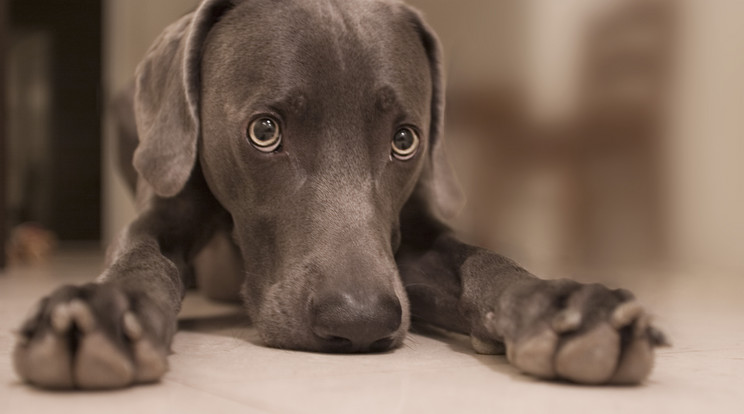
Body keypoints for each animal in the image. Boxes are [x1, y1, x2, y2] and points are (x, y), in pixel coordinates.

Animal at [11, 0, 664, 390]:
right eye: (264, 131)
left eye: (405, 139)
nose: (361, 322)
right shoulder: (166, 211)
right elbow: (143, 259)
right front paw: (103, 309)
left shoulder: (407, 244)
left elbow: (481, 259)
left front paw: (561, 304)